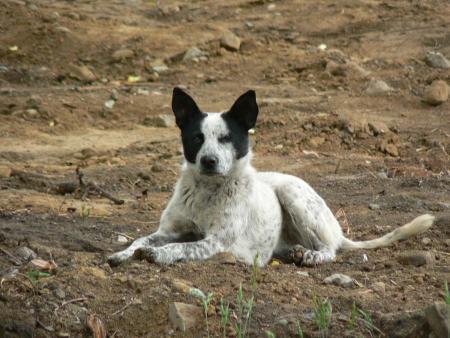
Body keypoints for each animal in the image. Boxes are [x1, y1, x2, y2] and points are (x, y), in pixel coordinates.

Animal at [107, 87, 434, 266]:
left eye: (226, 138)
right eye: (197, 138)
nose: (209, 161)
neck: (206, 192)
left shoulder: (217, 242)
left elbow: (182, 246)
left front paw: (158, 254)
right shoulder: (169, 229)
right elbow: (141, 239)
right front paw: (124, 253)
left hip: (294, 196)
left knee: (331, 249)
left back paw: (313, 256)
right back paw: (299, 251)